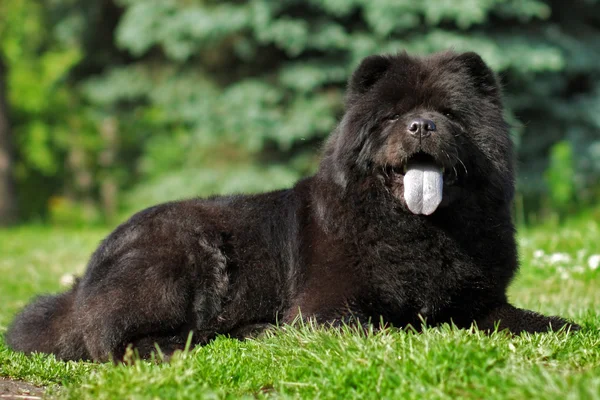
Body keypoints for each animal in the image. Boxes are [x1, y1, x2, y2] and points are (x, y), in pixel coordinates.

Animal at [3, 50, 576, 362]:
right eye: (393, 116)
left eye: (449, 113)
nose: (421, 125)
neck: (422, 230)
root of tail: (85, 278)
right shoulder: (328, 309)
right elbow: (389, 324)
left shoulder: (484, 301)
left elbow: (529, 319)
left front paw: (568, 328)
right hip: (185, 255)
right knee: (114, 337)